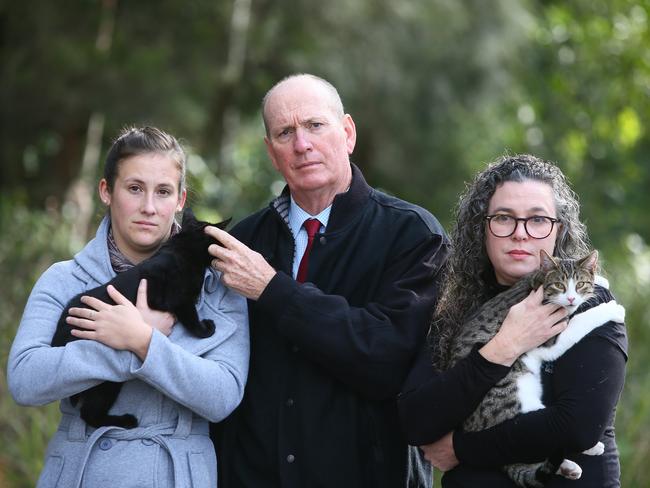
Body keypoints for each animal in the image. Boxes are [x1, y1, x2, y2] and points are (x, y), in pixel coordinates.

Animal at [52, 208, 230, 428]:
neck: (183, 247)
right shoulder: (173, 299)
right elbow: (191, 317)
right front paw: (206, 329)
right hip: (107, 383)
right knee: (90, 414)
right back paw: (127, 421)